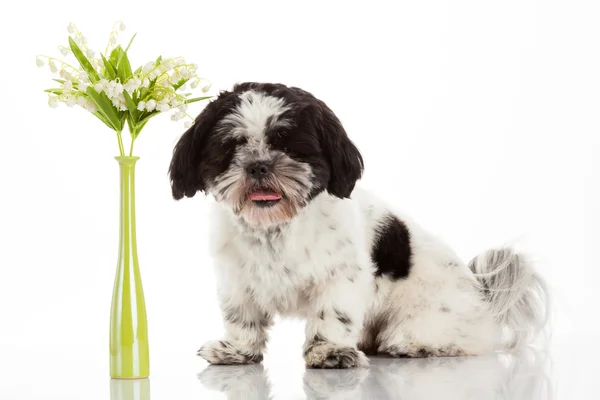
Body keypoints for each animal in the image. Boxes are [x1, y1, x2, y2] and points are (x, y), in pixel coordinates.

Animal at [168, 81, 548, 368]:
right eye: (232, 146)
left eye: (290, 147)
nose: (259, 165)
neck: (277, 228)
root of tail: (484, 294)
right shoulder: (237, 280)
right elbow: (242, 318)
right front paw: (237, 351)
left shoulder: (341, 277)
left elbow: (332, 314)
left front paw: (329, 352)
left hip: (434, 314)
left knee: (454, 339)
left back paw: (412, 343)